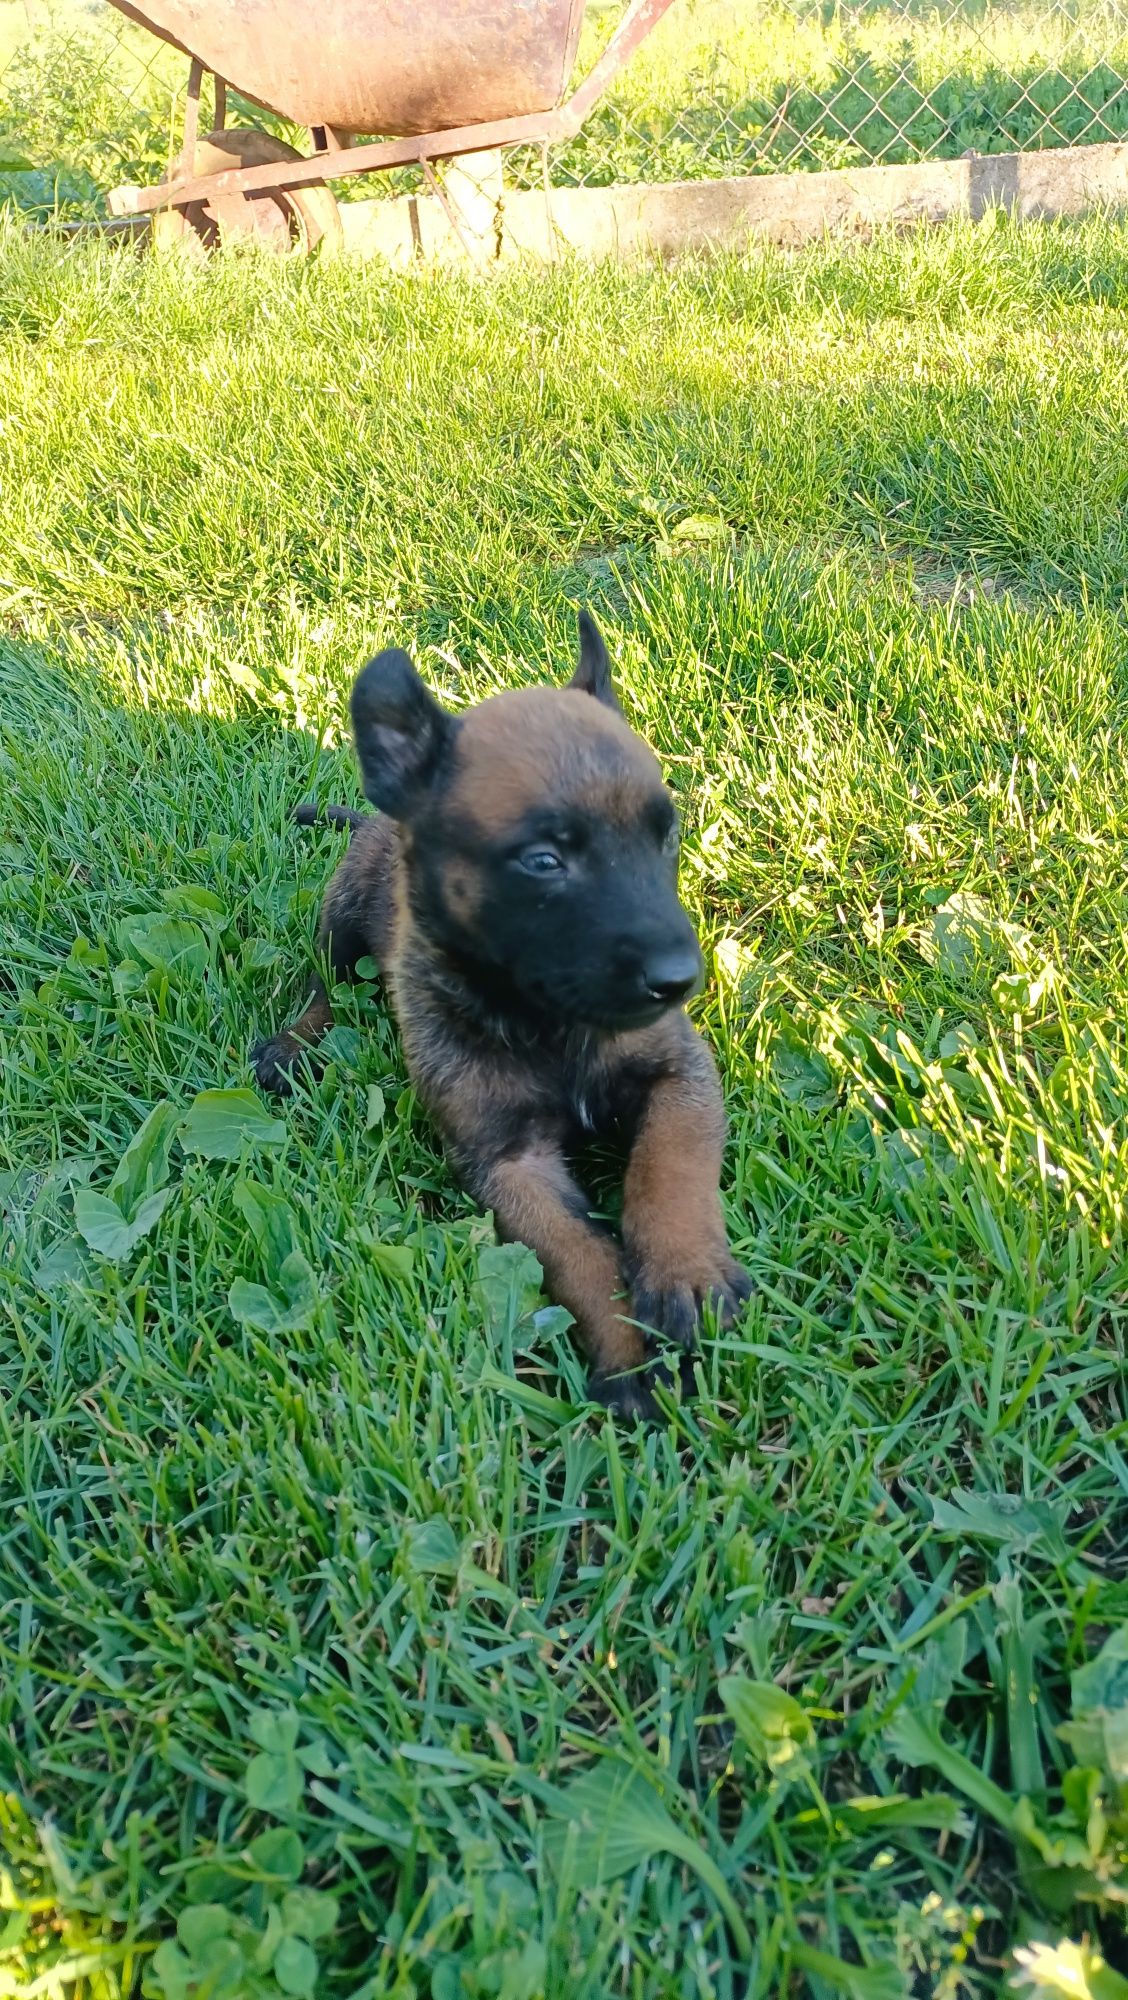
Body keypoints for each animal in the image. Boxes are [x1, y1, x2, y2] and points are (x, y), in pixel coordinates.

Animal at [253, 616, 748, 1416]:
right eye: (544, 862)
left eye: (665, 836)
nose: (680, 980)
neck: (551, 1023)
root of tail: (376, 818)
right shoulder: (509, 1163)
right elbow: (578, 1253)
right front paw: (632, 1357)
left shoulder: (680, 1073)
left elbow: (668, 1167)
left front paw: (684, 1271)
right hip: (342, 918)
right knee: (328, 988)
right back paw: (295, 1046)